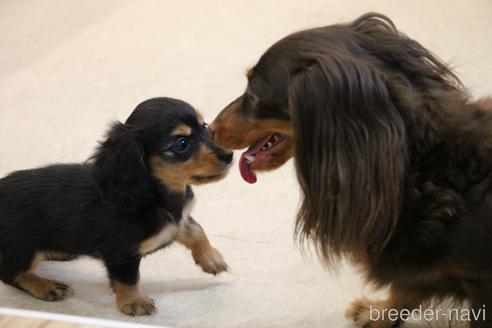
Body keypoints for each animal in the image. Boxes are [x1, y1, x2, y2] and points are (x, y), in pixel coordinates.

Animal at [0, 97, 233, 316]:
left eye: (204, 126)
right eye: (181, 143)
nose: (229, 155)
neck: (155, 196)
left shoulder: (178, 220)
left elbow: (196, 230)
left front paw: (211, 259)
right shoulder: (121, 254)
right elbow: (129, 280)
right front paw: (134, 302)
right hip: (23, 249)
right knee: (12, 274)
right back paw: (45, 285)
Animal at [209, 12, 492, 328]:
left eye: (255, 96)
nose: (210, 129)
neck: (425, 167)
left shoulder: (481, 282)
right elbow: (405, 289)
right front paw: (380, 313)